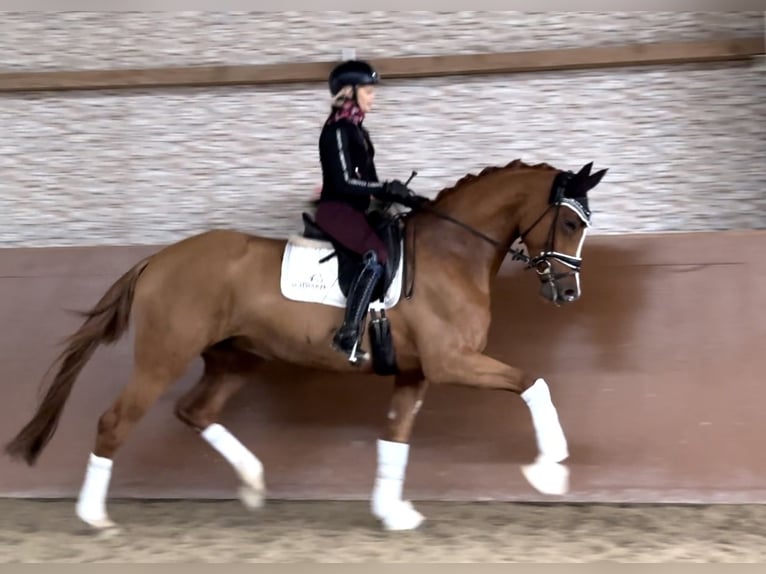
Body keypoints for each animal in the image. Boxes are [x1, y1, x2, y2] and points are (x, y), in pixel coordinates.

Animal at [4, 159, 608, 536]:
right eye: (569, 222)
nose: (568, 292)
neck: (452, 252)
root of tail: (159, 258)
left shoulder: (415, 372)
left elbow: (395, 437)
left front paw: (392, 514)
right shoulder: (450, 362)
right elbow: (532, 382)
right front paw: (549, 470)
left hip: (234, 357)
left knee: (194, 411)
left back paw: (253, 483)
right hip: (163, 356)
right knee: (115, 422)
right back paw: (95, 518)